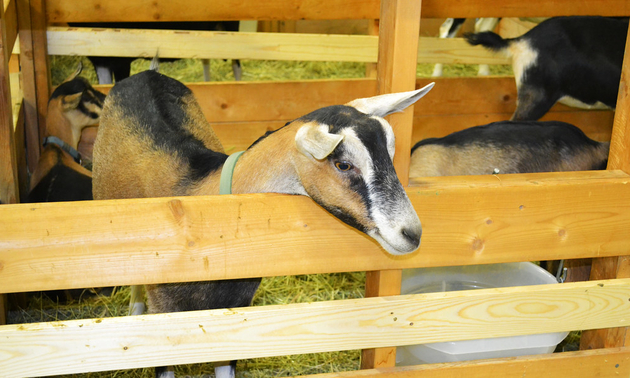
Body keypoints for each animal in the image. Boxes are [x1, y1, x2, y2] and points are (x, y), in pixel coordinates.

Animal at [90, 69, 434, 376]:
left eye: (390, 156)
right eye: (343, 164)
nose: (412, 234)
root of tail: (146, 72)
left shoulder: (233, 313)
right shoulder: (164, 321)